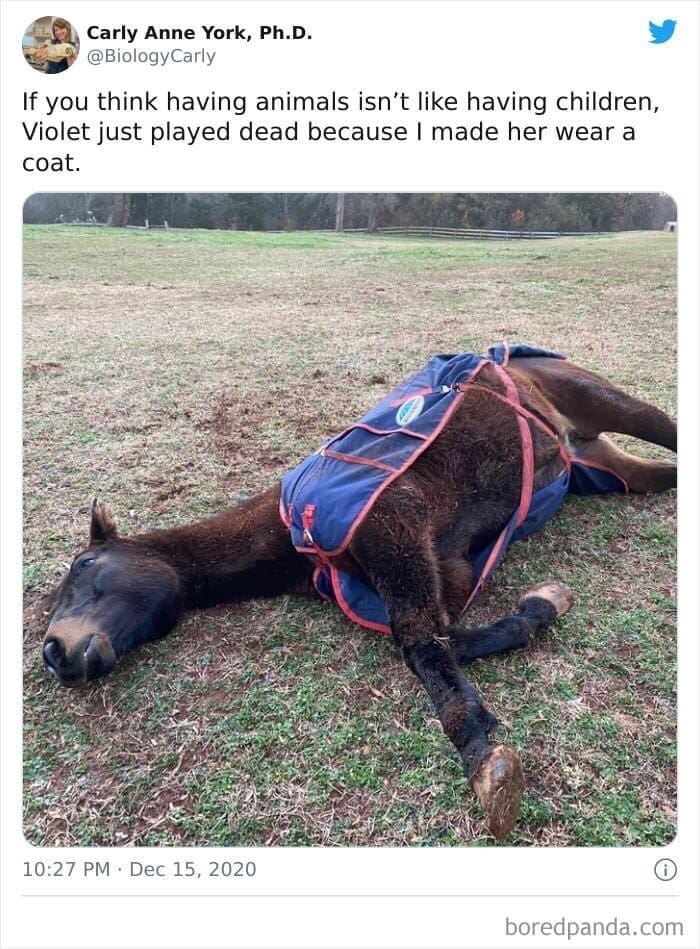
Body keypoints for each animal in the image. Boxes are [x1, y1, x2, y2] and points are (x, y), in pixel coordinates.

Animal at [41, 348, 676, 838]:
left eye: (85, 565)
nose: (54, 652)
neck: (292, 535)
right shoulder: (446, 569)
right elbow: (443, 636)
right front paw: (541, 606)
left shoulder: (394, 525)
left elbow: (421, 645)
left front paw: (482, 762)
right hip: (602, 465)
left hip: (602, 398)